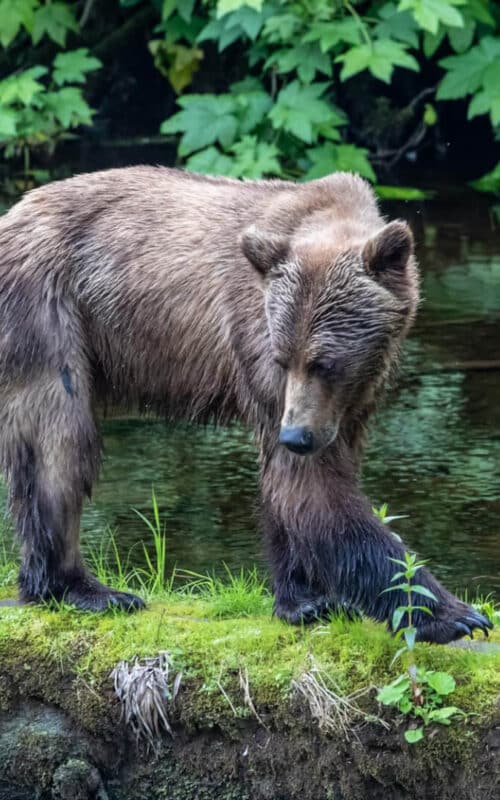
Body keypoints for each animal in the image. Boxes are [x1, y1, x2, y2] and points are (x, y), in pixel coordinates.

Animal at [0, 166, 491, 644]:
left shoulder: (348, 397)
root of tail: (14, 213)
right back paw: (88, 589)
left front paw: (305, 598)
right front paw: (454, 614)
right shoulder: (257, 338)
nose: (297, 436)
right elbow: (314, 487)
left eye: (324, 363)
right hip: (50, 311)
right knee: (60, 446)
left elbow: (299, 484)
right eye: (284, 358)